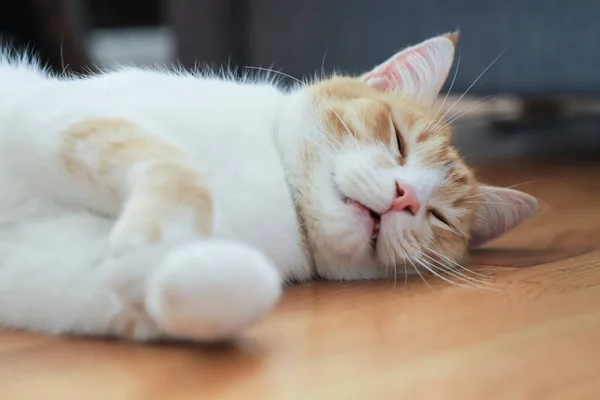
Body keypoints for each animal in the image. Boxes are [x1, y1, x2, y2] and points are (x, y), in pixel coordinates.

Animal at [0, 32, 540, 342]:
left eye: (439, 216)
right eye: (398, 139)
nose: (408, 197)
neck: (279, 196)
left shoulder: (37, 264)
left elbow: (234, 292)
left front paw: (162, 275)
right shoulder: (60, 114)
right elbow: (172, 167)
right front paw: (152, 244)